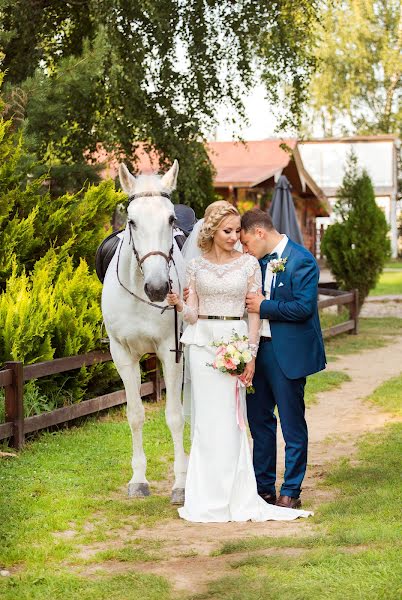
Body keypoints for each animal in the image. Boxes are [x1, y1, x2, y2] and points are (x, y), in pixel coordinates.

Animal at [101, 162, 188, 504]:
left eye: (171, 219)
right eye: (132, 221)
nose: (158, 288)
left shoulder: (170, 352)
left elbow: (175, 416)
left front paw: (181, 484)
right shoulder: (123, 355)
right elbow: (135, 414)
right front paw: (138, 479)